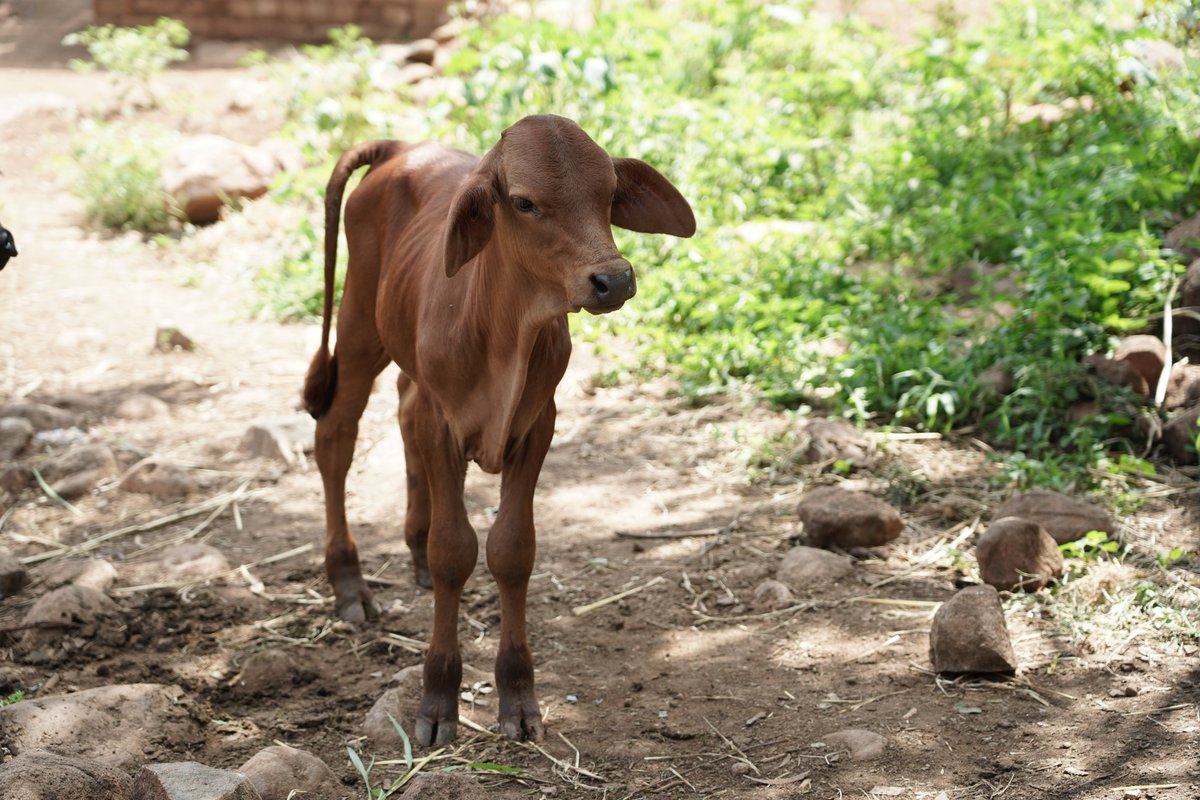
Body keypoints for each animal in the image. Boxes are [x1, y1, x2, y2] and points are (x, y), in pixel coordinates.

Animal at [302, 115, 696, 748]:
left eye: (610, 193)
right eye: (525, 202)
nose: (613, 280)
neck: (504, 329)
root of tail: (400, 147)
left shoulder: (538, 425)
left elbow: (512, 550)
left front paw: (517, 697)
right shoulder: (443, 425)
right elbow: (453, 552)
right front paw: (438, 698)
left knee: (402, 409)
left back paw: (410, 547)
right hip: (359, 321)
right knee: (336, 435)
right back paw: (348, 582)